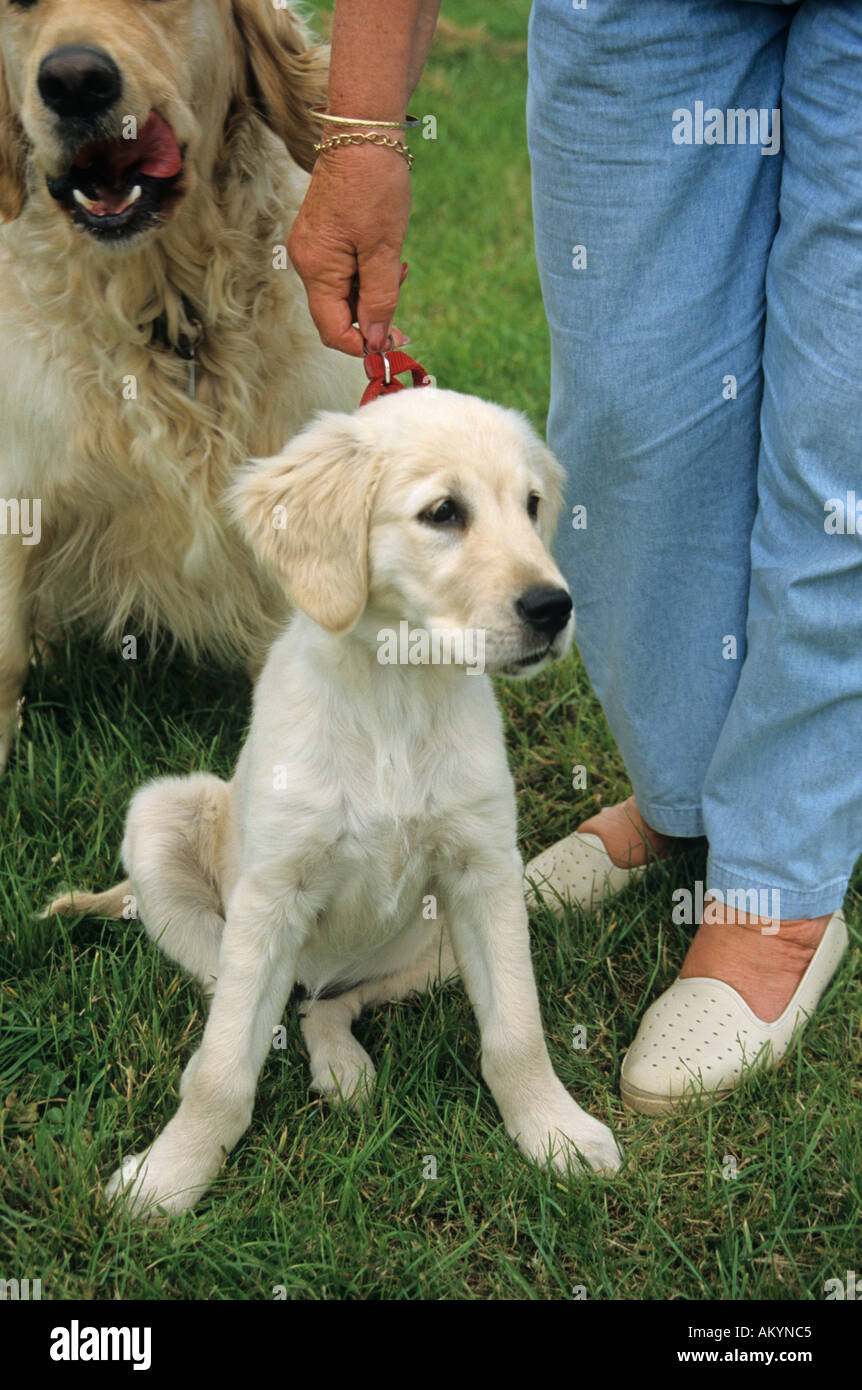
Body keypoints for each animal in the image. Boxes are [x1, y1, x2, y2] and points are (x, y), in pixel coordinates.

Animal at [47, 386, 622, 1212]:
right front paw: (169, 1177)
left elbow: (517, 1030)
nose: (555, 607)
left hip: (440, 941)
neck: (396, 689)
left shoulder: (486, 876)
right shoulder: (271, 891)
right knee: (236, 994)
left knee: (326, 1003)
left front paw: (556, 1132)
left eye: (533, 505)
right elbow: (224, 1069)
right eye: (444, 512)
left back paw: (342, 1064)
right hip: (165, 817)